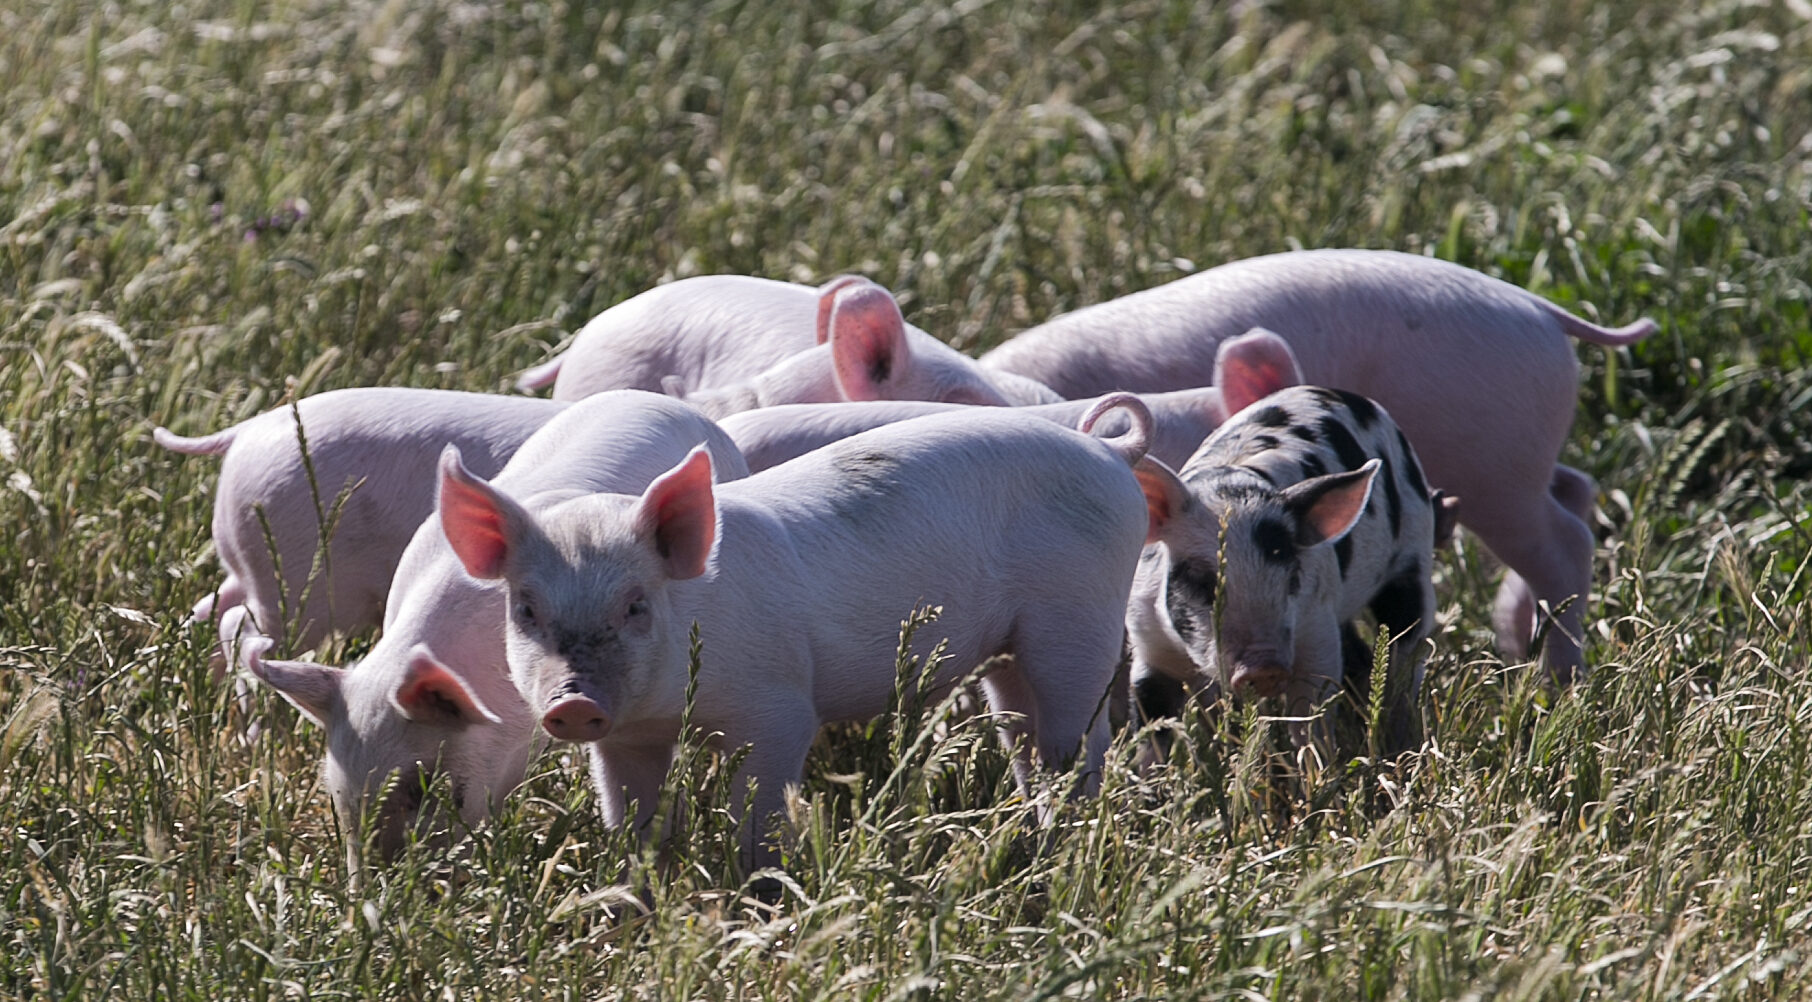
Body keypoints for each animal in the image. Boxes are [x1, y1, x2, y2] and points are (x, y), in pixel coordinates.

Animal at [434, 400, 1161, 872]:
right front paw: (640, 899)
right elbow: (634, 824)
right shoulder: (626, 738)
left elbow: (759, 823)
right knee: (1024, 736)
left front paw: (758, 891)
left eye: (636, 605)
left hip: (1081, 615)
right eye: (527, 609)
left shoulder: (779, 708)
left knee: (1079, 739)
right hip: (1011, 652)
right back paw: (1040, 839)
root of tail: (1110, 451)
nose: (574, 701)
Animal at [981, 248, 1658, 681]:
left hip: (1494, 459)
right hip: (1515, 460)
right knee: (1575, 488)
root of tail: (1542, 309)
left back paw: (1553, 682)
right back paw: (1516, 640)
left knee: (1563, 541)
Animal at [1131, 384, 1440, 755]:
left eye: (1290, 573)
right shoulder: (1148, 643)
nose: (1263, 666)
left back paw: (1399, 743)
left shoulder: (1316, 627)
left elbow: (1311, 720)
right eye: (1201, 580)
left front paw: (1319, 768)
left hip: (1414, 556)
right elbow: (1152, 727)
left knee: (1406, 655)